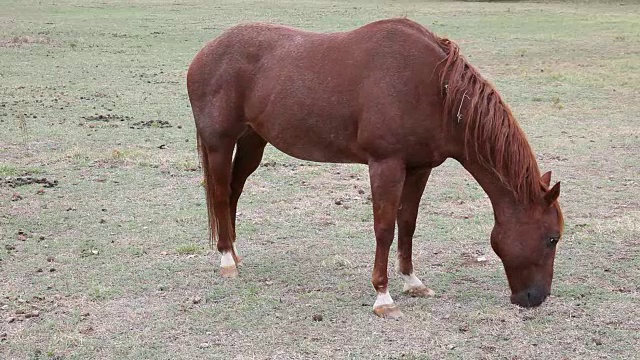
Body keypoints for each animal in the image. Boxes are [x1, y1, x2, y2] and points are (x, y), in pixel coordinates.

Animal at [188, 19, 564, 318]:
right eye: (552, 238)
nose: (536, 298)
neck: (432, 88)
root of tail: (204, 54)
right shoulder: (386, 165)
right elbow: (384, 228)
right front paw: (383, 296)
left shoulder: (419, 168)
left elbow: (407, 223)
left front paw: (413, 281)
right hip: (220, 144)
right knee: (219, 194)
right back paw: (226, 261)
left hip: (253, 141)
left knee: (234, 191)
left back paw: (234, 253)